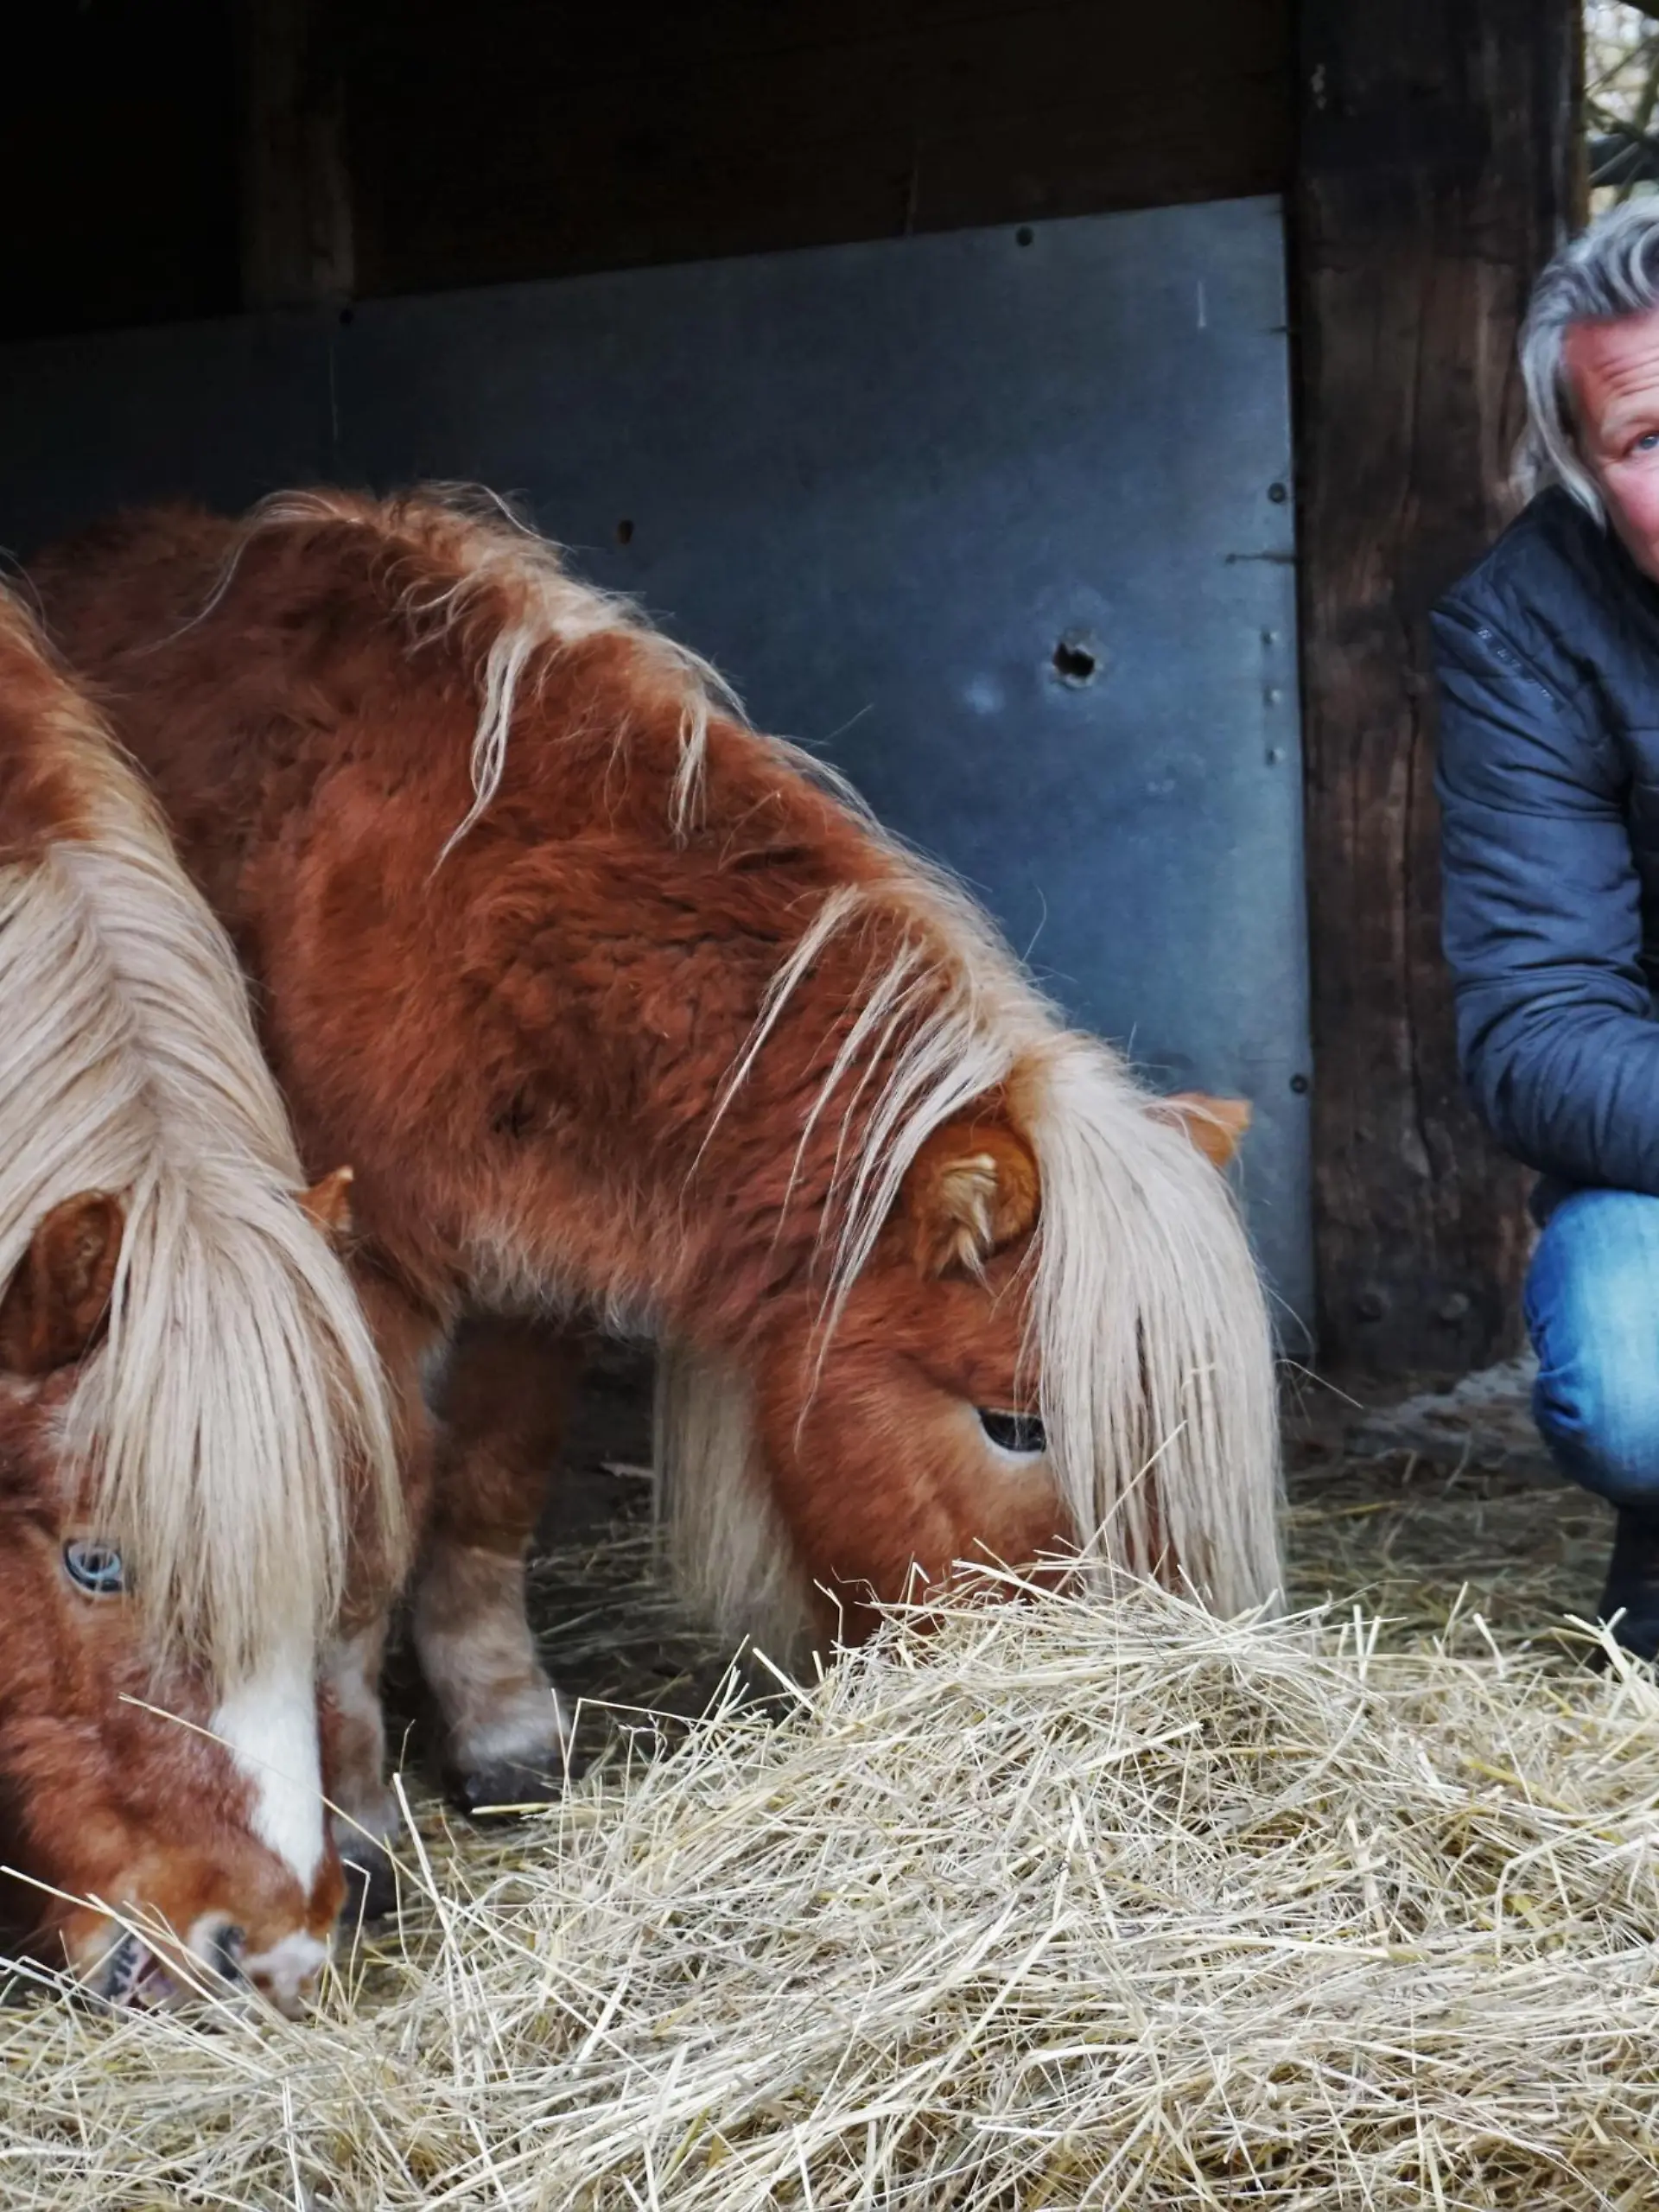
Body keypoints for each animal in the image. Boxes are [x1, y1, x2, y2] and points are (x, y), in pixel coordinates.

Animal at [32, 488, 1283, 1860]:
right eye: (1017, 1426)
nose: (1135, 1701)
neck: (475, 900)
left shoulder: (536, 1274)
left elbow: (489, 1480)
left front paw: (505, 1732)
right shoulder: (352, 1278)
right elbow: (367, 1516)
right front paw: (355, 1805)